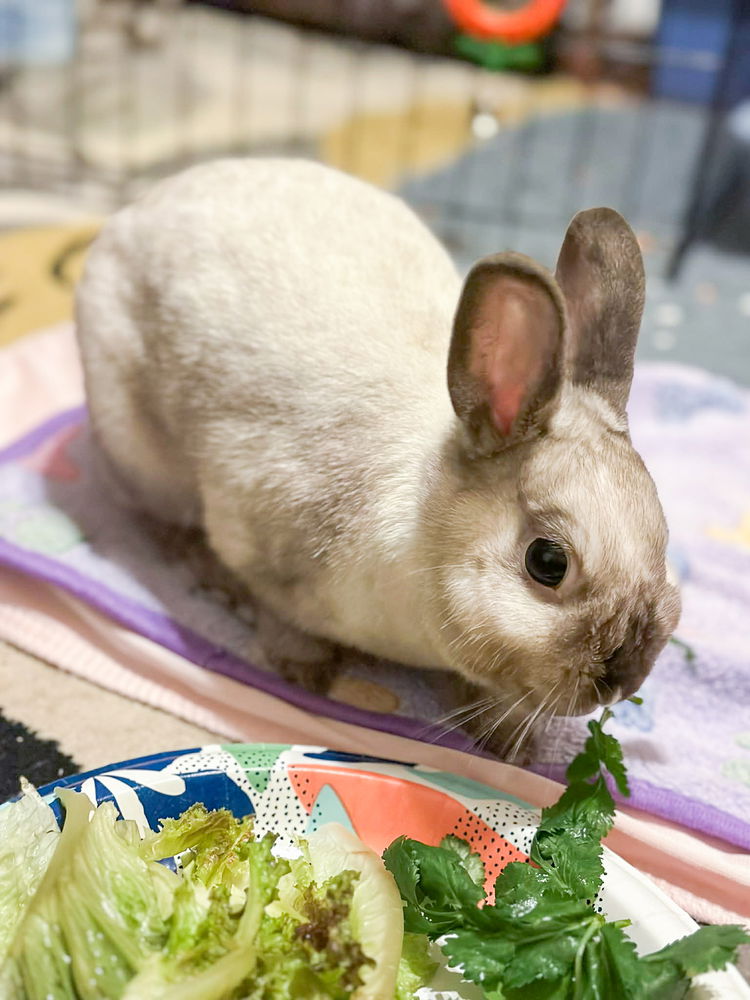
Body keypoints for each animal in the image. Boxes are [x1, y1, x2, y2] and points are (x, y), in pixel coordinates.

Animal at [75, 157, 681, 754]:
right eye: (547, 562)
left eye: (663, 540)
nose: (622, 678)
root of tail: (141, 204)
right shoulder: (258, 531)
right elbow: (279, 617)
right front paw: (305, 671)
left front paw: (509, 739)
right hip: (140, 456)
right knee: (163, 524)